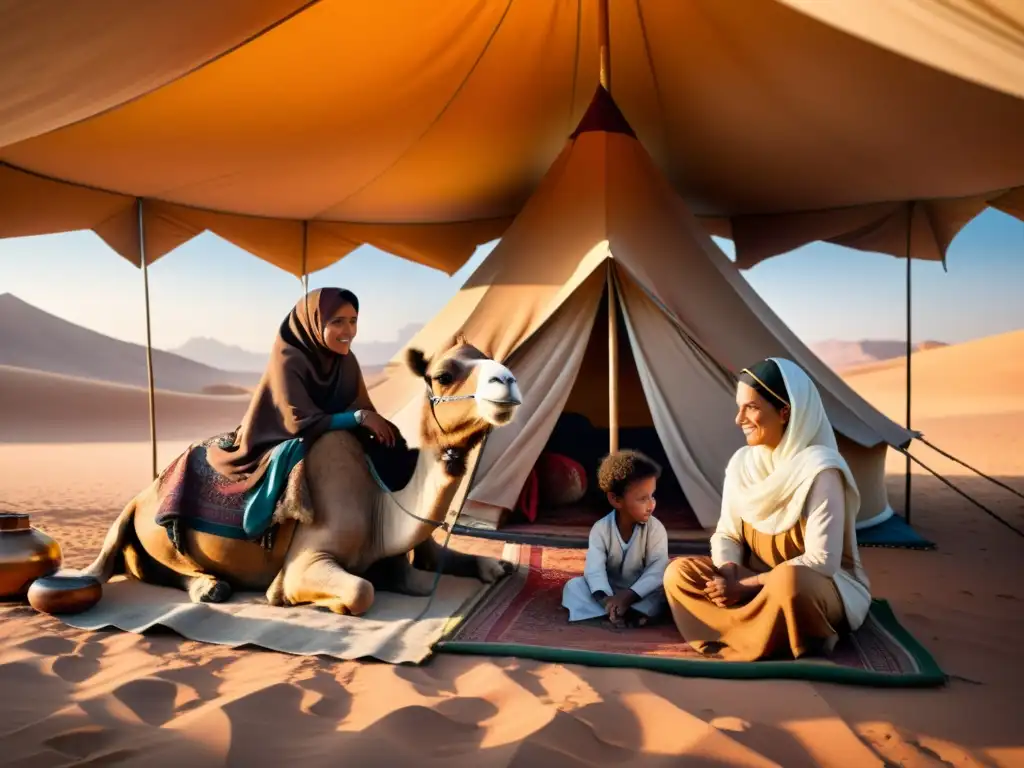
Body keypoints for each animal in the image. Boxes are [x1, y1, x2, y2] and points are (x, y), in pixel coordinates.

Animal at [81, 339, 520, 618]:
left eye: (492, 358)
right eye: (443, 374)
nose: (508, 381)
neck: (381, 504)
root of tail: (139, 499)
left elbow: (455, 564)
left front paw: (498, 567)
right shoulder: (308, 557)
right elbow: (360, 589)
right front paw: (307, 599)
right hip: (161, 533)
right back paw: (211, 587)